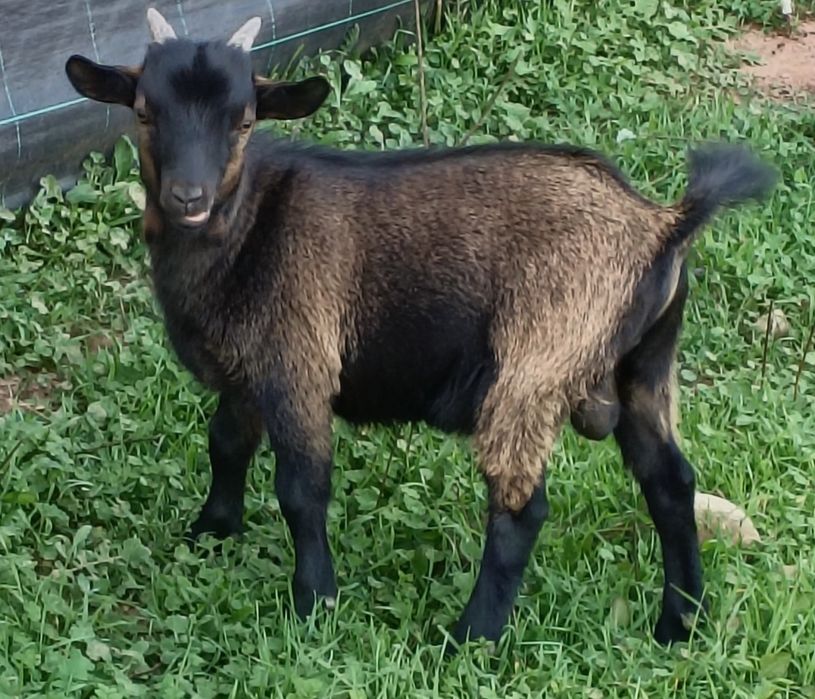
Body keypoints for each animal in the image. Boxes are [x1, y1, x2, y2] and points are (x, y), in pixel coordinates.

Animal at [64, 9, 776, 650]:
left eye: (243, 121)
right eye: (144, 113)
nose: (188, 197)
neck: (248, 229)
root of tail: (662, 223)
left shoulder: (299, 363)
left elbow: (301, 490)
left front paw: (315, 604)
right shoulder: (248, 371)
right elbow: (226, 445)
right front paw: (211, 531)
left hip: (538, 358)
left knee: (521, 506)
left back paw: (470, 638)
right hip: (644, 366)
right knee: (669, 482)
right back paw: (679, 624)